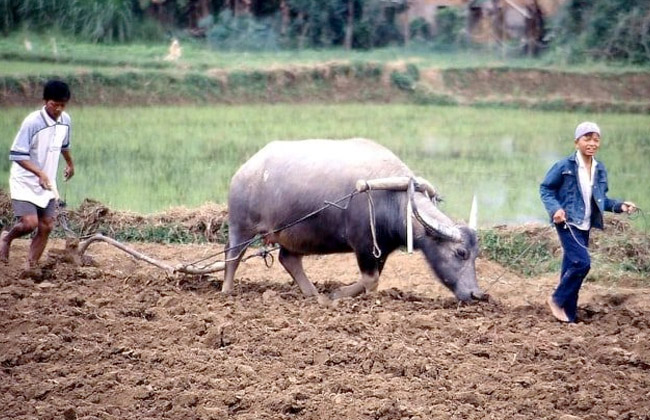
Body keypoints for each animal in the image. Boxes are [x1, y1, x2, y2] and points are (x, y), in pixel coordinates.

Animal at [223, 139, 480, 300]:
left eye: (475, 254)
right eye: (460, 253)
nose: (477, 294)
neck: (394, 198)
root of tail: (245, 170)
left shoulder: (381, 249)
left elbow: (374, 278)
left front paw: (334, 295)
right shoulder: (363, 244)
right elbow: (370, 280)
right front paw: (340, 295)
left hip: (294, 235)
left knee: (289, 259)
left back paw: (313, 295)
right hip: (241, 226)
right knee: (233, 256)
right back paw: (227, 292)